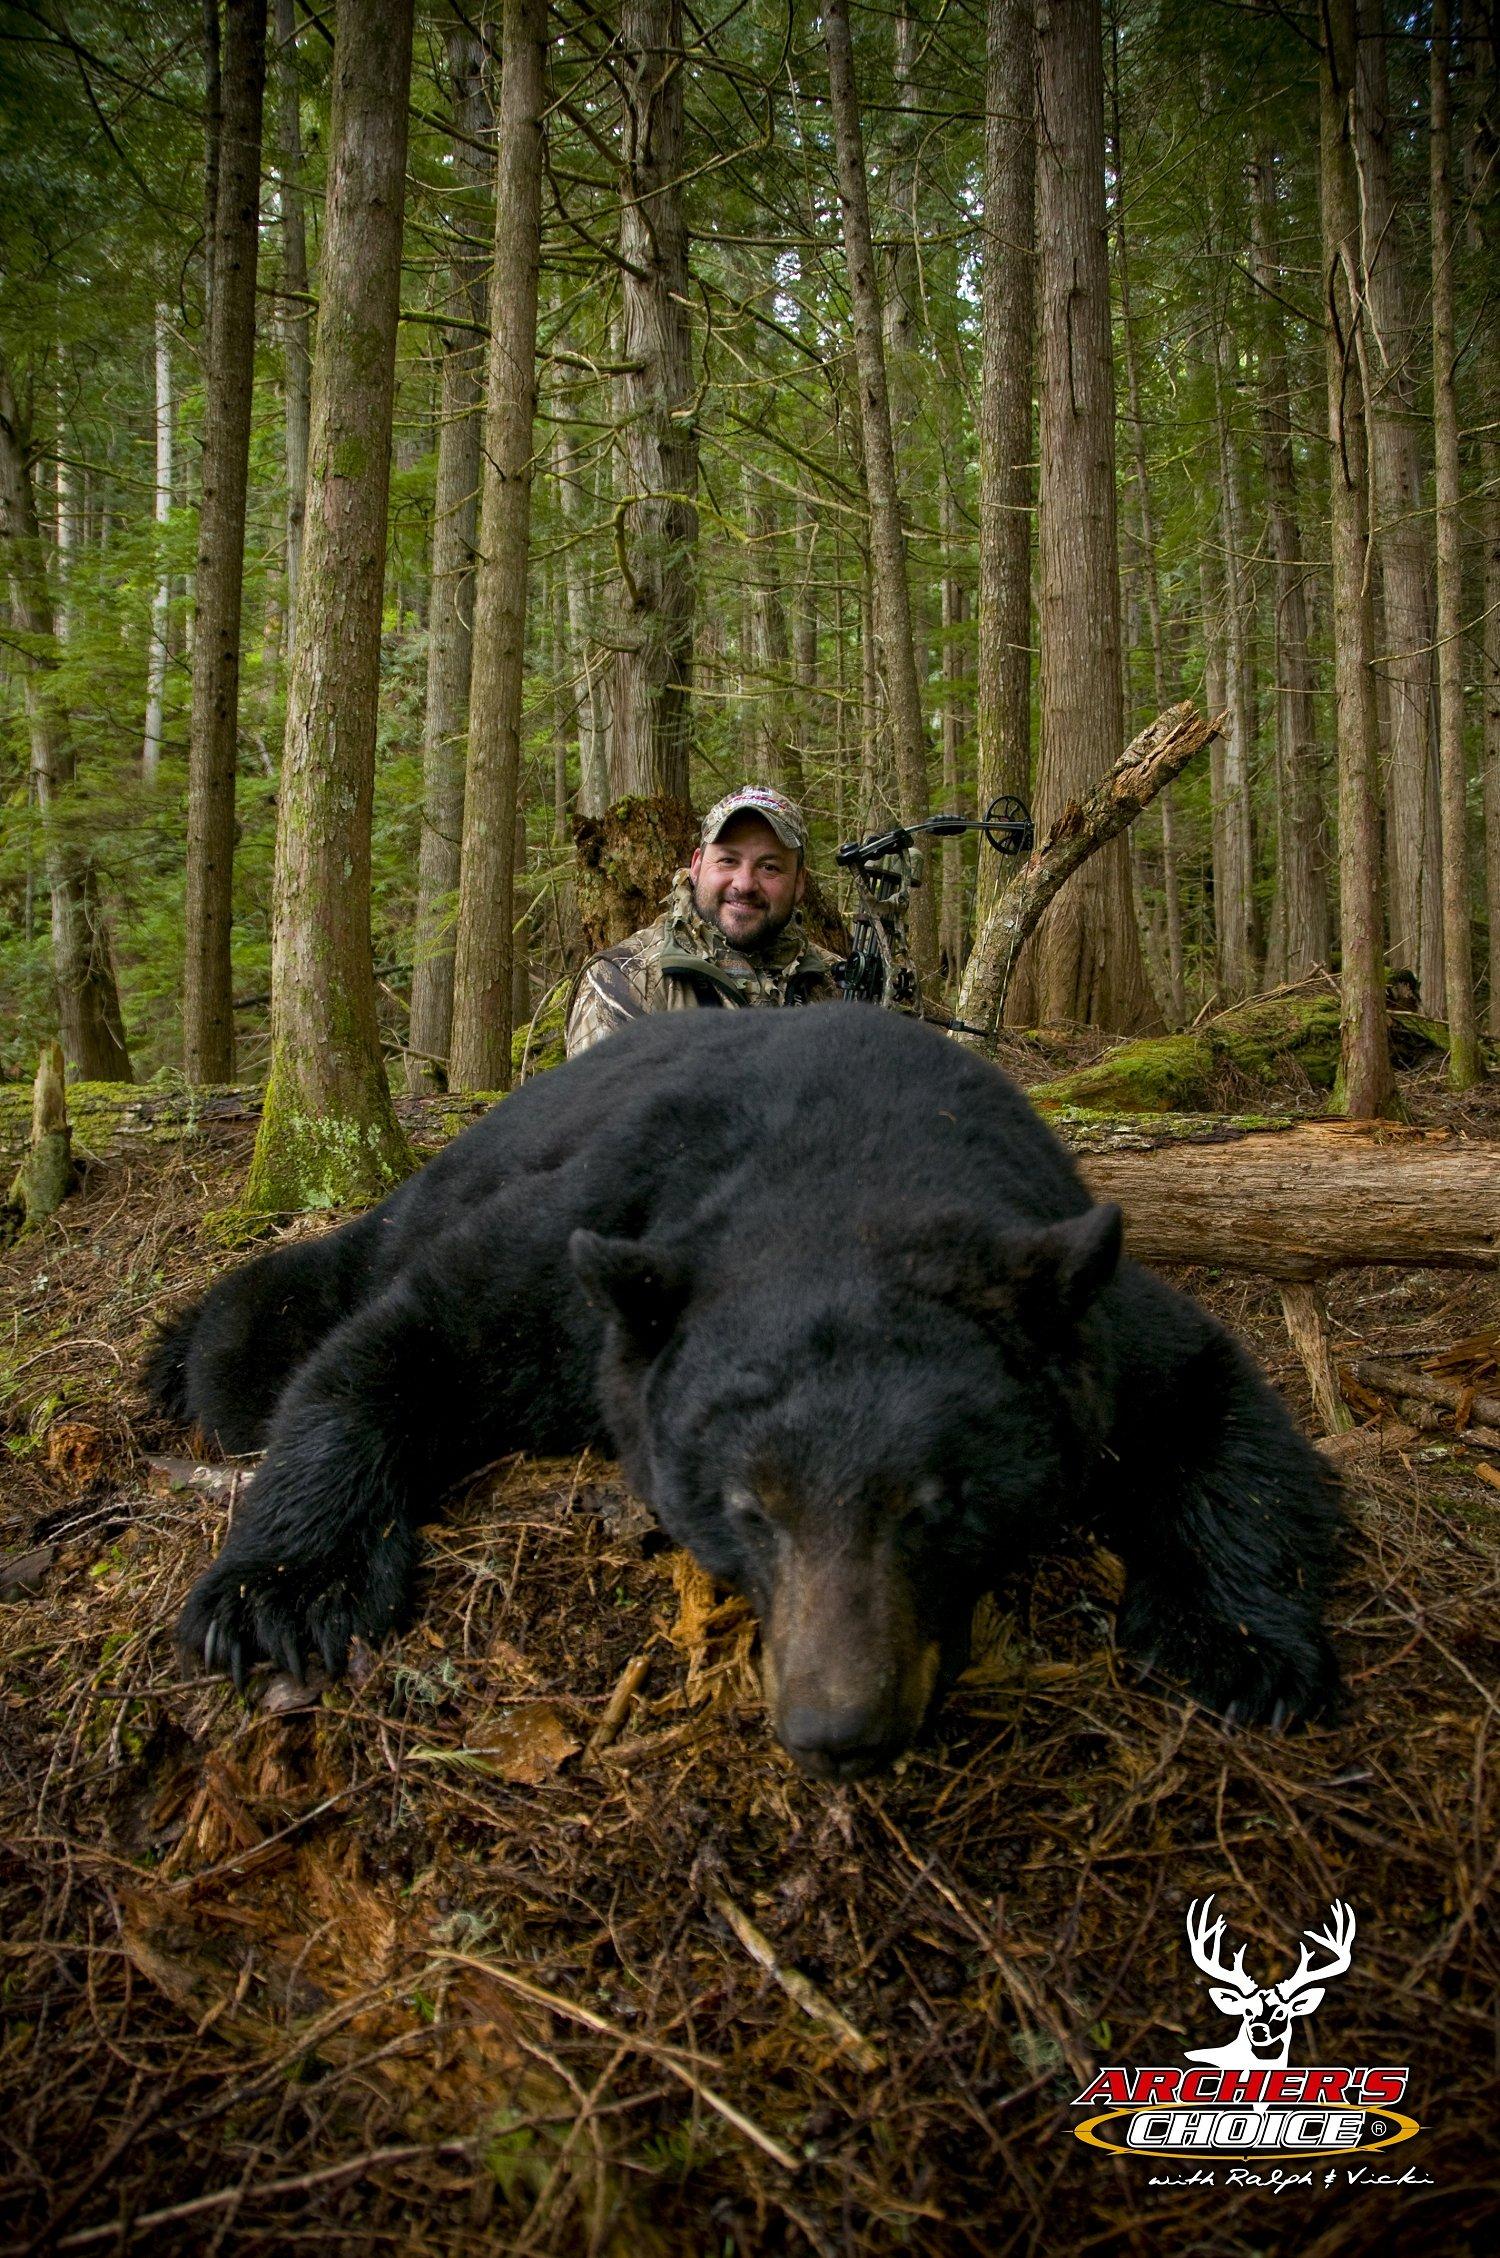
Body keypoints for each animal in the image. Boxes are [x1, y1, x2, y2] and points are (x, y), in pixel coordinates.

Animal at [149, 1011, 1346, 1779]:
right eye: (746, 1509)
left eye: (939, 1505)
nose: (837, 1727)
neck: (852, 1165)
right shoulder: (590, 1252)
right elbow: (401, 1345)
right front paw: (279, 1591)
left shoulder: (1077, 1304)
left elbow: (1212, 1391)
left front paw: (1240, 1642)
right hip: (412, 1211)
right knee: (269, 1330)